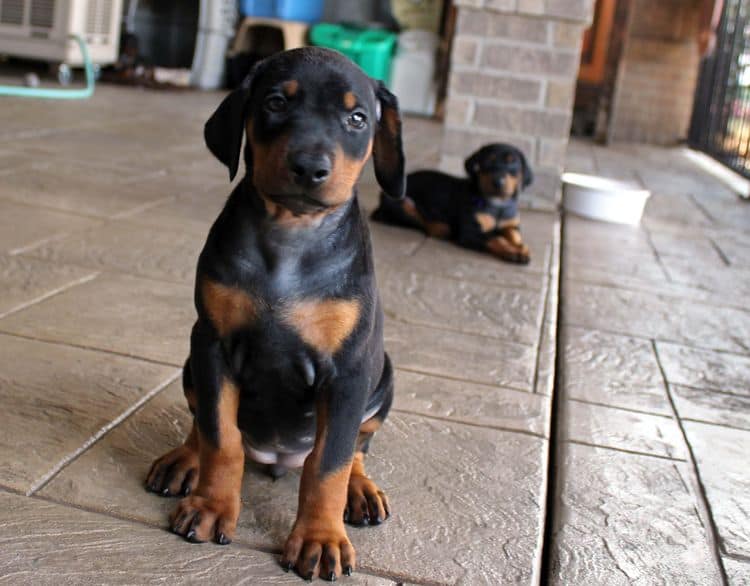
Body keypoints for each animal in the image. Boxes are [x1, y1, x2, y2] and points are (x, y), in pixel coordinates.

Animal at [146, 46, 406, 580]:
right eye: (275, 103)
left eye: (357, 118)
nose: (309, 167)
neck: (291, 235)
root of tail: (276, 458)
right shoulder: (212, 345)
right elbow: (220, 435)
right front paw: (211, 506)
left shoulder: (349, 371)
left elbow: (329, 462)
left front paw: (321, 539)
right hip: (190, 362)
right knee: (201, 420)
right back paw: (184, 459)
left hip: (382, 376)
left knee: (355, 447)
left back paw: (361, 489)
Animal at [370, 143, 536, 262]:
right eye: (488, 162)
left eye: (513, 163)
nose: (498, 182)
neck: (498, 204)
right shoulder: (470, 232)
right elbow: (495, 238)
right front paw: (513, 251)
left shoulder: (511, 223)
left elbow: (514, 234)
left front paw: (521, 246)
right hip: (402, 203)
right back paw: (440, 227)